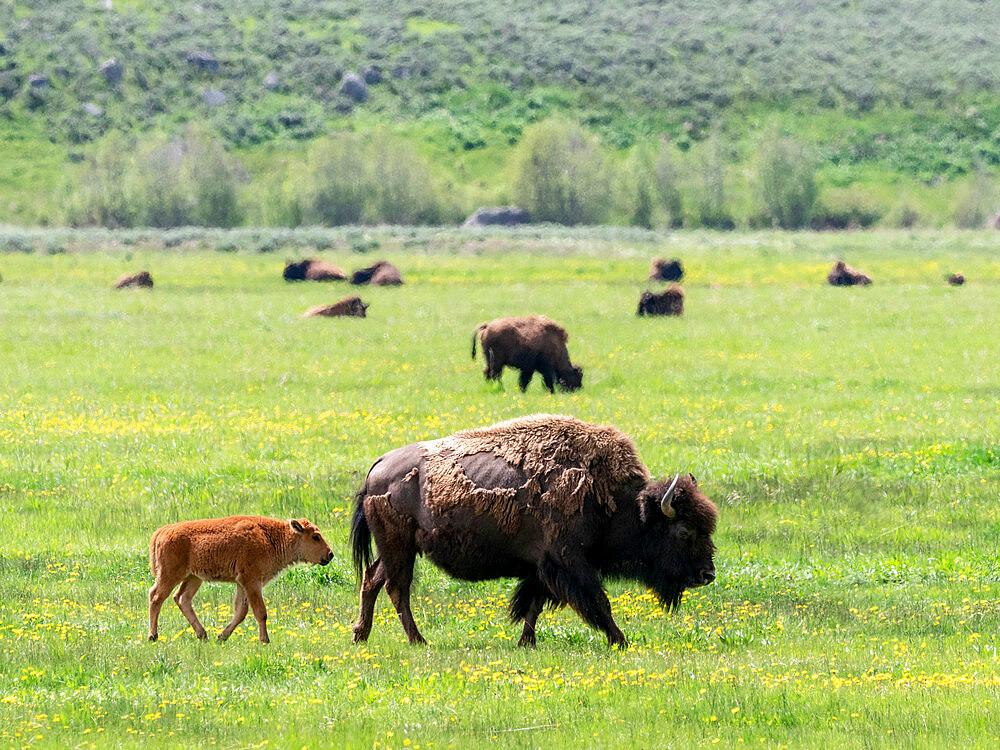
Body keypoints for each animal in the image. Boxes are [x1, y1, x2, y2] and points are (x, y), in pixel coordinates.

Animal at [148, 516, 334, 648]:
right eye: (315, 537)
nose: (330, 554)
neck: (272, 536)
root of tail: (162, 531)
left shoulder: (242, 583)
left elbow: (241, 611)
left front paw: (222, 636)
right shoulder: (251, 581)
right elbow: (260, 612)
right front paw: (265, 641)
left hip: (193, 578)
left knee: (182, 598)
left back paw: (203, 635)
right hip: (170, 575)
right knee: (156, 596)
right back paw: (153, 637)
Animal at [352, 414, 720, 648]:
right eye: (684, 531)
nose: (708, 574)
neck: (611, 499)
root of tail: (377, 466)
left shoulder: (542, 565)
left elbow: (534, 604)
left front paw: (526, 642)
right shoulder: (568, 560)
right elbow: (598, 601)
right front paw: (620, 640)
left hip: (397, 549)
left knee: (373, 579)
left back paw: (361, 634)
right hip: (399, 547)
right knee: (397, 587)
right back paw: (418, 640)